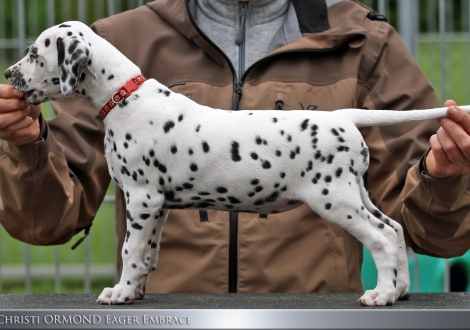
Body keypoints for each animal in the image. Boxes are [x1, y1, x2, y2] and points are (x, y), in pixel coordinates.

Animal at [6, 21, 470, 306]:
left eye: (34, 54)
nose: (9, 74)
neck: (125, 97)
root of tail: (342, 118)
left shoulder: (142, 198)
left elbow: (130, 250)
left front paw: (119, 293)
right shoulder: (158, 206)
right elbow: (148, 253)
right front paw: (134, 291)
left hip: (334, 198)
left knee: (381, 238)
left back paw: (381, 295)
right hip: (355, 191)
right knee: (394, 230)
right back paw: (400, 291)